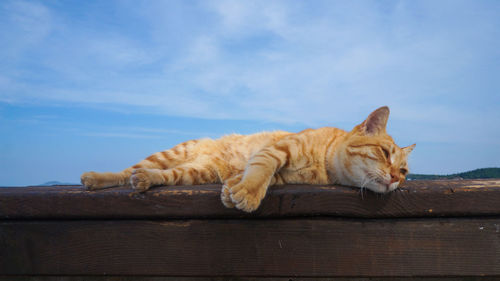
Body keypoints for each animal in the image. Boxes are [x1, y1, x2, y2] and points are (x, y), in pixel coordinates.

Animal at [81, 106, 414, 211]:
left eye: (404, 171)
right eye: (385, 153)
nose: (395, 178)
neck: (323, 162)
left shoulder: (281, 173)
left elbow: (257, 176)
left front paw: (233, 188)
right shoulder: (278, 150)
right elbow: (260, 171)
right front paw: (249, 193)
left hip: (194, 172)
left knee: (159, 175)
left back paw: (146, 180)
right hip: (175, 152)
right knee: (128, 170)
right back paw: (96, 178)